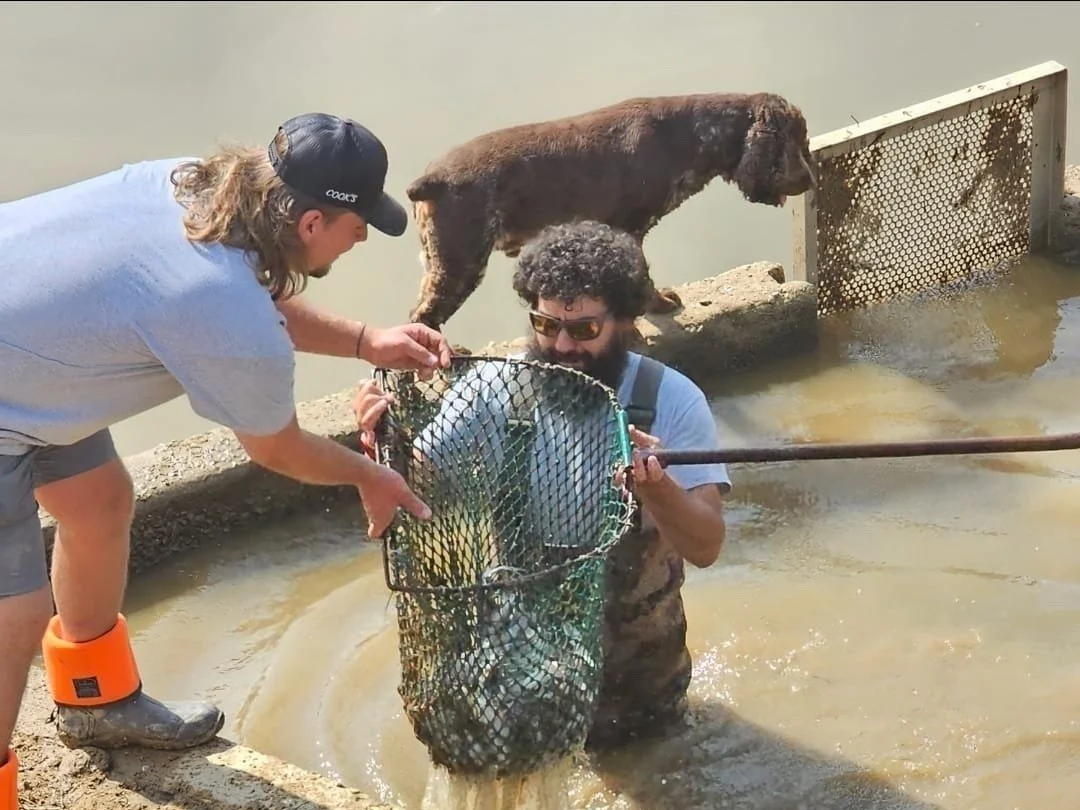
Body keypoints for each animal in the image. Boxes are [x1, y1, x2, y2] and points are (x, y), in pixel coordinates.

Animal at [404, 91, 816, 331]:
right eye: (797, 141)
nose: (810, 180)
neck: (685, 135)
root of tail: (431, 178)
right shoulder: (631, 227)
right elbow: (642, 276)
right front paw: (658, 305)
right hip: (462, 265)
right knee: (423, 318)